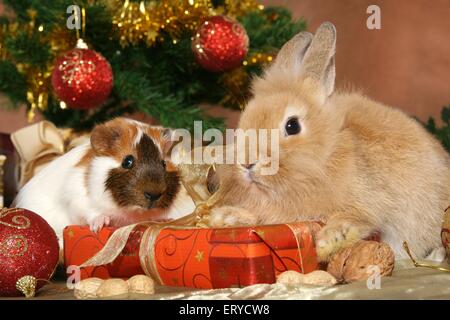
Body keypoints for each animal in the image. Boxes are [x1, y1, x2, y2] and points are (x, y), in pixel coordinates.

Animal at [208, 23, 450, 262]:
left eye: (292, 126)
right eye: (244, 120)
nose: (246, 163)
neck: (323, 159)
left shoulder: (369, 204)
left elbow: (354, 219)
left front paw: (327, 242)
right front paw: (224, 217)